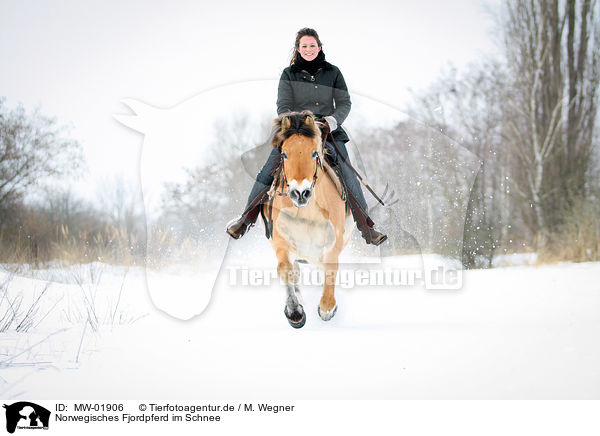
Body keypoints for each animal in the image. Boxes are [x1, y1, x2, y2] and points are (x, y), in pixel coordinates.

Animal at [264, 110, 354, 328]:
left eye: (314, 153)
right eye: (284, 154)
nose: (300, 193)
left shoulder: (332, 245)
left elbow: (330, 271)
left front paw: (327, 308)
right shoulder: (281, 242)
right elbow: (285, 270)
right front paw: (295, 312)